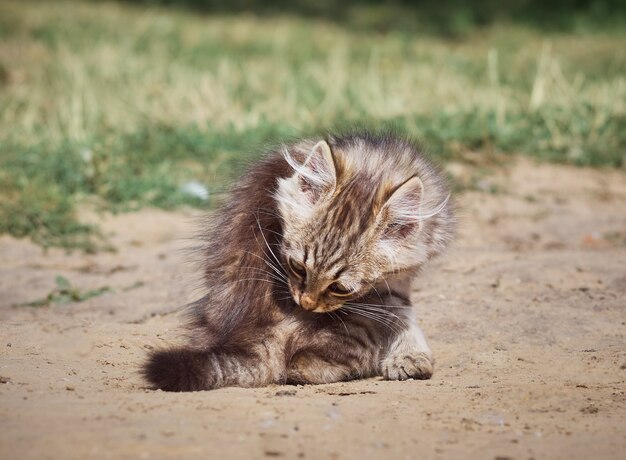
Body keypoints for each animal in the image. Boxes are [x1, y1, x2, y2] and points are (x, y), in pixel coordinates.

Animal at [142, 133, 454, 392]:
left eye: (340, 288)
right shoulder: (388, 291)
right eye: (298, 267)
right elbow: (405, 313)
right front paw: (411, 354)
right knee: (302, 367)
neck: (373, 166)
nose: (306, 303)